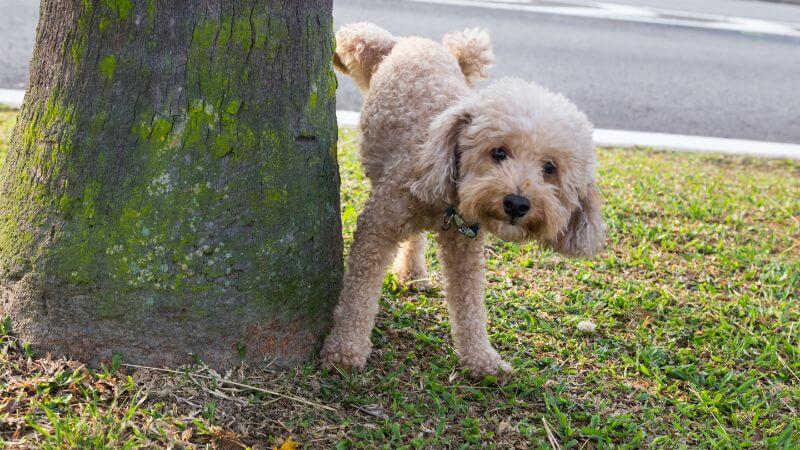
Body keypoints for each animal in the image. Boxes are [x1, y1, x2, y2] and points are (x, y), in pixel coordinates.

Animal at [322, 23, 604, 376]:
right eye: (498, 152)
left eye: (549, 168)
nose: (517, 204)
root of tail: (419, 42)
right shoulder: (378, 226)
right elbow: (359, 292)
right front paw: (345, 349)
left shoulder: (464, 246)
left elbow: (470, 305)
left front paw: (482, 359)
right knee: (358, 35)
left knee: (415, 239)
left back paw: (412, 272)